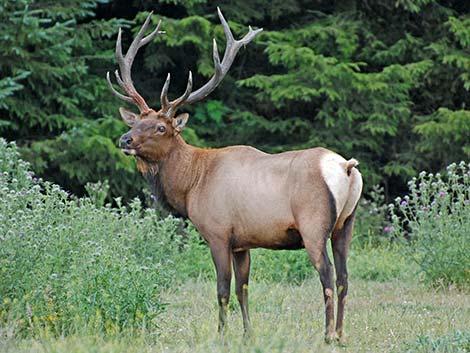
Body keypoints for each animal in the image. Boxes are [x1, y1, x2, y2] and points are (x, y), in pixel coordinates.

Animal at [107, 8, 364, 342]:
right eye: (137, 121)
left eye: (161, 127)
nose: (125, 140)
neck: (191, 183)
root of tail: (347, 167)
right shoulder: (243, 242)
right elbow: (244, 289)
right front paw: (247, 335)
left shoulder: (217, 232)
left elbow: (222, 289)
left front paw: (221, 335)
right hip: (346, 224)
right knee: (345, 276)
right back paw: (342, 335)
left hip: (314, 224)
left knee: (328, 276)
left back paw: (328, 335)